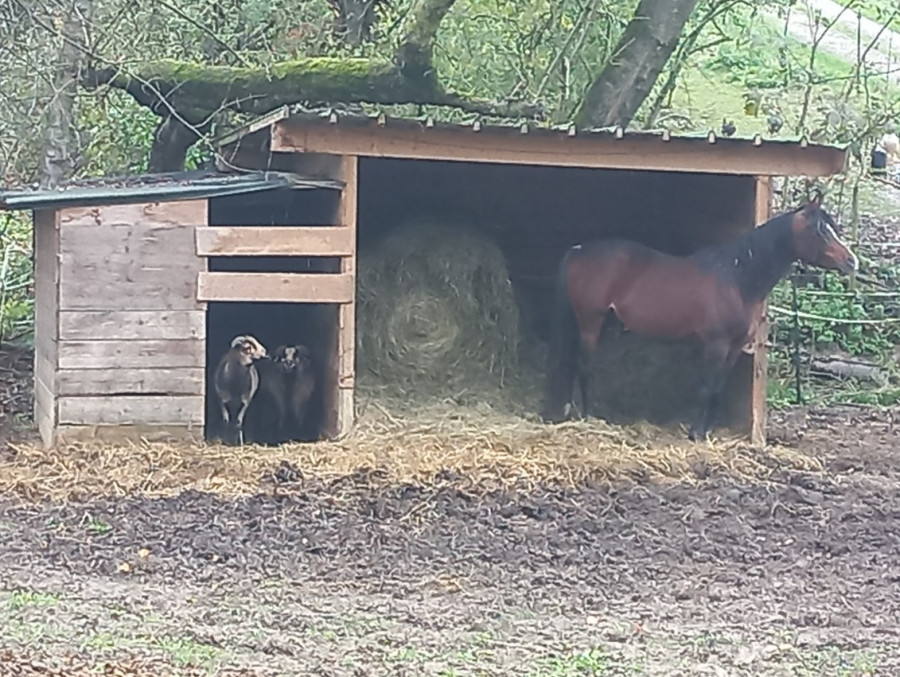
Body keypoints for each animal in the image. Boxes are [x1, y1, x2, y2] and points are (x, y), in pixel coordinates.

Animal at [540, 197, 858, 442]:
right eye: (819, 231)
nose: (851, 261)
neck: (737, 278)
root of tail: (579, 250)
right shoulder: (716, 344)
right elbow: (706, 387)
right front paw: (695, 433)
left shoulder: (733, 347)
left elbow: (717, 388)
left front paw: (705, 432)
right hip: (590, 321)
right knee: (584, 365)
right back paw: (588, 416)